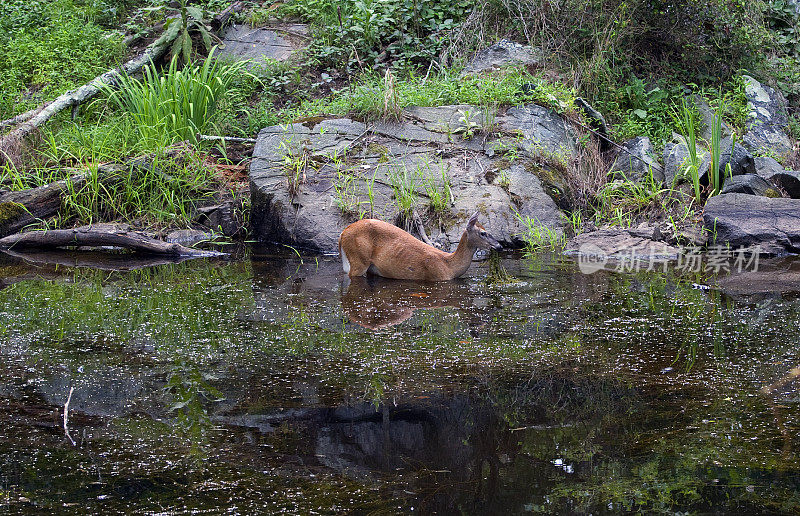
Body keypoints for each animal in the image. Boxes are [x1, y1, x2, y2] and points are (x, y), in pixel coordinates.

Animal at [338, 211, 500, 282]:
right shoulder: (438, 276)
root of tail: (343, 234)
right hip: (359, 259)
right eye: (483, 233)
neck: (450, 266)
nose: (499, 246)